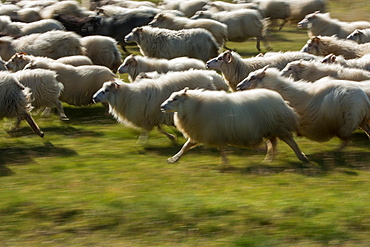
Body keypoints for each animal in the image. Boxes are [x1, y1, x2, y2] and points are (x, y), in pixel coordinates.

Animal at [91, 69, 227, 143]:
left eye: (106, 90)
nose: (94, 98)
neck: (127, 96)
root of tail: (209, 78)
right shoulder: (153, 116)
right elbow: (159, 129)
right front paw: (172, 138)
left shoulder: (147, 116)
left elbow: (147, 130)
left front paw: (141, 142)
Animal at [160, 88, 308, 165]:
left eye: (175, 98)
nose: (161, 106)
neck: (196, 106)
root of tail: (281, 101)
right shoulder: (203, 133)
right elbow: (185, 147)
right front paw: (173, 159)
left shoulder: (214, 133)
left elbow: (221, 149)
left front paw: (225, 163)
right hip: (270, 130)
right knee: (273, 143)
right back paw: (269, 159)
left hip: (279, 127)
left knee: (291, 142)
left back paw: (302, 157)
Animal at [237, 65, 370, 148]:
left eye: (253, 77)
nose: (238, 86)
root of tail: (364, 97)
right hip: (359, 120)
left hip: (348, 122)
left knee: (347, 138)